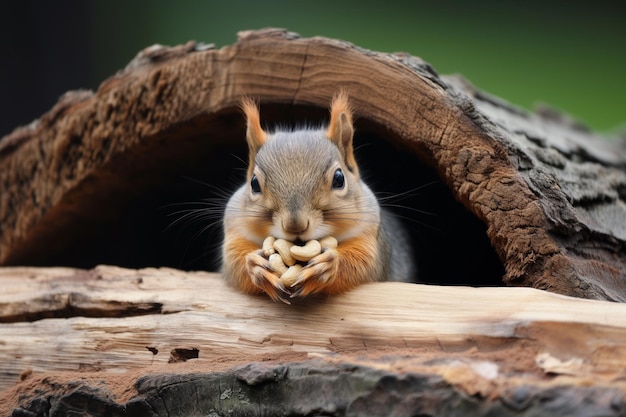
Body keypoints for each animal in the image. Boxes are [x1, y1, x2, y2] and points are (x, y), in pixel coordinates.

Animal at [221, 91, 414, 302]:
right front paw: (255, 265)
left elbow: (363, 262)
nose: (295, 226)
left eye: (339, 179)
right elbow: (233, 263)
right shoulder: (234, 230)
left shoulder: (371, 237)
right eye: (254, 184)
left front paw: (328, 265)